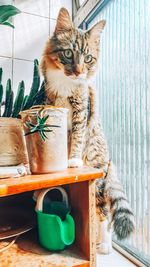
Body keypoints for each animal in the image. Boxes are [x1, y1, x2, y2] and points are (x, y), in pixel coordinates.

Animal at [40, 7, 135, 255]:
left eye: (89, 58)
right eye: (68, 54)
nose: (79, 71)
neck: (64, 83)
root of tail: (109, 159)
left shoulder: (81, 109)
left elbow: (77, 137)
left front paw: (72, 161)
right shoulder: (53, 105)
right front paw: (59, 160)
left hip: (99, 181)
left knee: (104, 214)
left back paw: (104, 246)